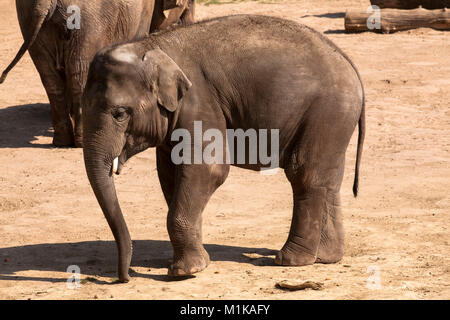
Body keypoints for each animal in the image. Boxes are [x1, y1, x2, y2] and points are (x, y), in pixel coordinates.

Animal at [0, 0, 158, 148]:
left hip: (31, 20)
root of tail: (44, 2)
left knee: (52, 79)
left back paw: (62, 142)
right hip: (90, 22)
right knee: (80, 76)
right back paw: (82, 142)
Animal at [81, 15, 366, 282]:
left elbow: (209, 169)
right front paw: (197, 262)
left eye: (119, 113)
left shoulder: (199, 102)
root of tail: (351, 65)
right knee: (329, 180)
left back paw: (291, 260)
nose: (124, 277)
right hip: (334, 120)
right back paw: (326, 258)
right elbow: (170, 174)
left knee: (305, 174)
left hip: (326, 110)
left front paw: (185, 271)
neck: (151, 45)